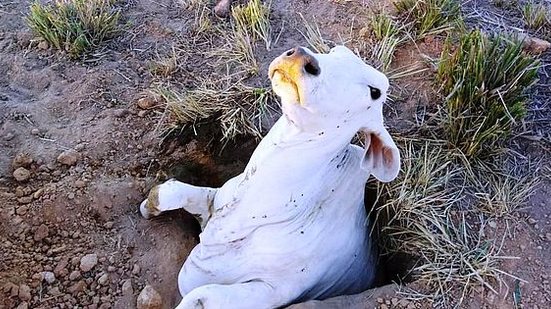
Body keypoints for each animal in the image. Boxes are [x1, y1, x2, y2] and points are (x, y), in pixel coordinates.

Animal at [140, 45, 404, 308]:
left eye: (375, 92)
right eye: (335, 51)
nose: (300, 57)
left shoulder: (272, 291)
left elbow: (199, 296)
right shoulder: (217, 201)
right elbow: (166, 192)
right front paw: (147, 208)